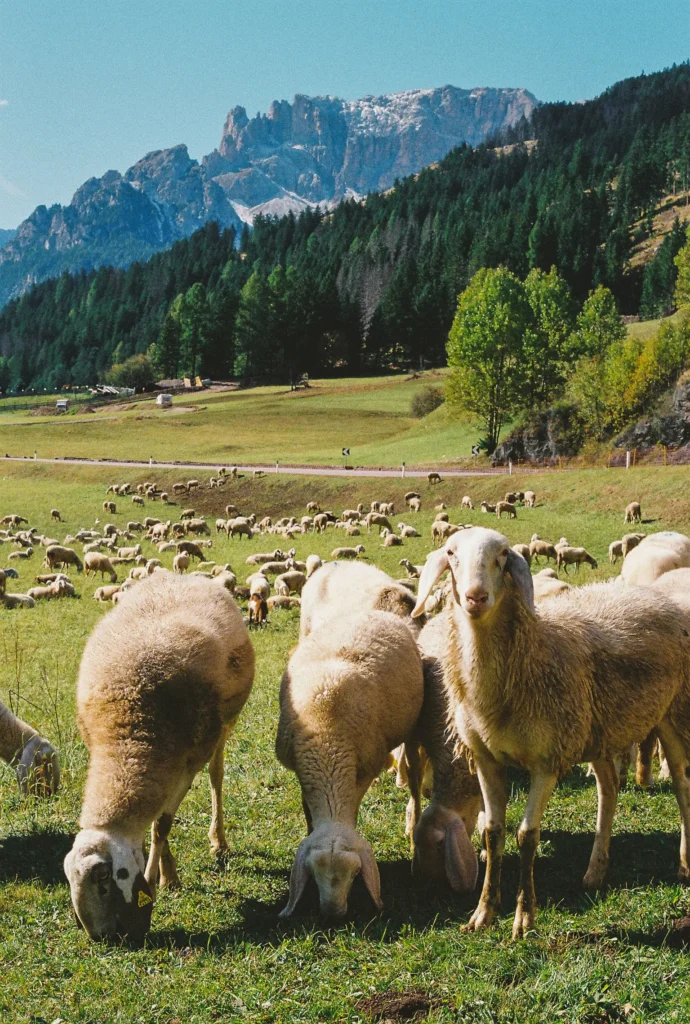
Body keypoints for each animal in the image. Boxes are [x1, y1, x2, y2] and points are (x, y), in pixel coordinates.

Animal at [63, 572, 255, 940]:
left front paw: (155, 881)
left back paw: (219, 840)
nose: (103, 937)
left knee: (217, 777)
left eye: (104, 879)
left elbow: (162, 824)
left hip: (225, 726)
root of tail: (181, 576)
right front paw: (169, 873)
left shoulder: (187, 761)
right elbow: (155, 822)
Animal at [275, 611, 424, 917]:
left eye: (356, 875)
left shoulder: (365, 767)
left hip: (413, 728)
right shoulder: (301, 768)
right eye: (312, 874)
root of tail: (378, 612)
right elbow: (307, 811)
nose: (333, 913)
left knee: (415, 779)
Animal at [411, 526, 690, 938]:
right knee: (609, 788)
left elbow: (527, 835)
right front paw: (483, 913)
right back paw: (596, 869)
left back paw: (684, 862)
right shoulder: (487, 759)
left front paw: (524, 917)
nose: (476, 597)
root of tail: (657, 597)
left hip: (673, 713)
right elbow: (493, 831)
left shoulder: (547, 761)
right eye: (451, 553)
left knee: (682, 786)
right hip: (597, 730)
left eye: (503, 555)